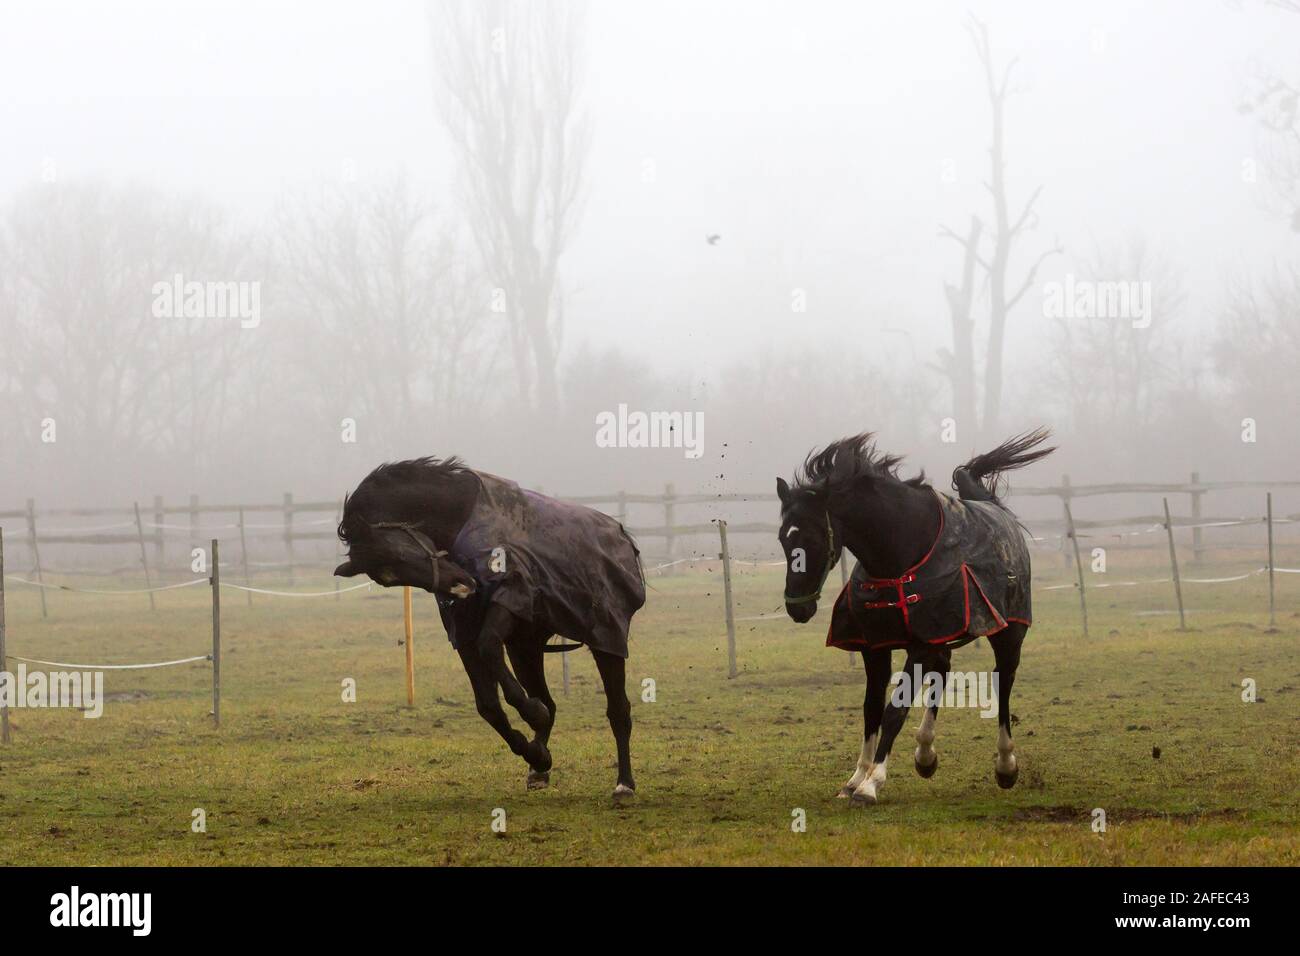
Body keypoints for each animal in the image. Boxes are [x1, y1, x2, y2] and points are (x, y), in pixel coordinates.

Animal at [332, 460, 642, 796]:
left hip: (605, 640)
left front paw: (532, 715)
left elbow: (491, 648)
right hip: (525, 650)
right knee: (551, 701)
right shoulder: (464, 631)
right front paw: (536, 753)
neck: (462, 515)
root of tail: (622, 537)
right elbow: (489, 706)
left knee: (619, 711)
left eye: (400, 555)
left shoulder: (509, 597)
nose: (462, 584)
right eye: (389, 578)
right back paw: (539, 767)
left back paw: (624, 784)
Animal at [774, 429, 1050, 806]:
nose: (797, 607)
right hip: (942, 638)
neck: (900, 550)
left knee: (1002, 683)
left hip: (1008, 633)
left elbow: (894, 708)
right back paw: (925, 754)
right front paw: (856, 778)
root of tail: (993, 506)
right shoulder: (877, 647)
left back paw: (1006, 766)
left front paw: (872, 783)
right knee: (943, 673)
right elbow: (871, 708)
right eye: (783, 539)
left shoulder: (921, 643)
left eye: (812, 538)